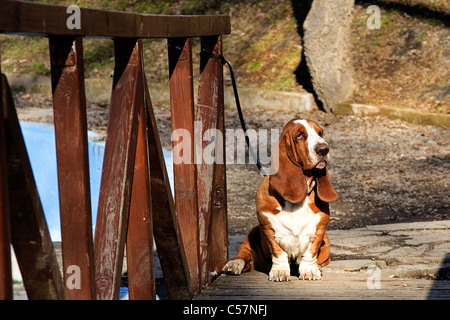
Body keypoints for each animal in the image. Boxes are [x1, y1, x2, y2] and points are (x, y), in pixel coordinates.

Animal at [214, 117, 338, 280]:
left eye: (320, 133)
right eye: (299, 136)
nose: (324, 149)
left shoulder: (319, 230)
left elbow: (310, 253)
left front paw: (310, 270)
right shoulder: (269, 229)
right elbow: (278, 253)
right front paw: (280, 271)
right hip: (250, 236)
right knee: (244, 257)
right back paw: (233, 265)